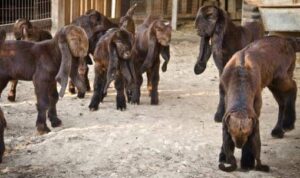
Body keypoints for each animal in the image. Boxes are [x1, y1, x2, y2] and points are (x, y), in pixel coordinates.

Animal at [218, 35, 298, 172]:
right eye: (231, 132)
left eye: (247, 134)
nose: (239, 145)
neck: (240, 74)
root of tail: (287, 40)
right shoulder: (224, 99)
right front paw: (224, 155)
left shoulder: (256, 106)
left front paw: (247, 161)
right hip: (273, 83)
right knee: (282, 102)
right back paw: (278, 130)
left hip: (281, 78)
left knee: (293, 86)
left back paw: (288, 123)